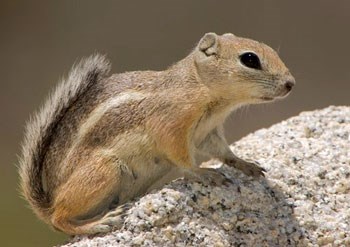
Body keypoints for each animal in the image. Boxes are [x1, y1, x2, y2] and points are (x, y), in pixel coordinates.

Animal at [18, 32, 296, 235]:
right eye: (250, 59)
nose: (290, 84)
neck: (202, 88)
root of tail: (47, 202)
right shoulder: (171, 125)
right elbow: (180, 154)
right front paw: (204, 173)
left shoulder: (208, 132)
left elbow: (223, 151)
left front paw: (245, 164)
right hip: (104, 170)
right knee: (59, 218)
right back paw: (98, 223)